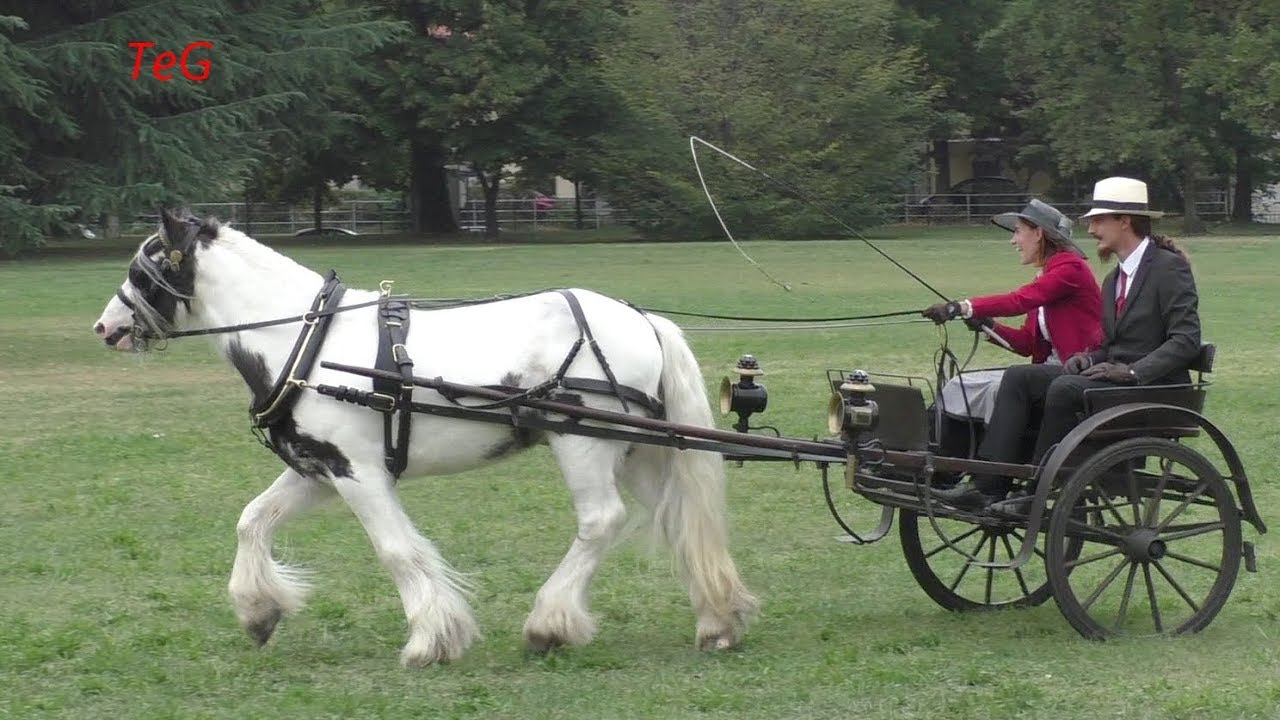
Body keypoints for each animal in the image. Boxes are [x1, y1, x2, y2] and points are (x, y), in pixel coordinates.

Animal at [91, 209, 758, 667]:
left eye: (142, 268)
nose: (104, 327)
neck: (307, 340)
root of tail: (640, 318)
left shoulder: (358, 473)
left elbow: (396, 551)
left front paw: (432, 639)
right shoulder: (320, 470)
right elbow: (252, 519)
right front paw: (259, 611)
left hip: (583, 444)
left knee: (601, 521)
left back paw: (549, 623)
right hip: (638, 449)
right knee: (677, 519)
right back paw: (717, 622)